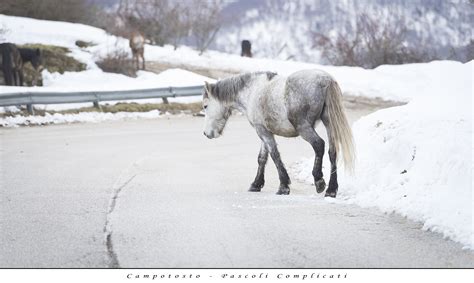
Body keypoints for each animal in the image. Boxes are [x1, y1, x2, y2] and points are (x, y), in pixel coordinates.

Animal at [202, 70, 354, 199]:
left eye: (205, 106)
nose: (206, 133)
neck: (252, 91)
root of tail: (326, 80)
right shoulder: (264, 131)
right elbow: (262, 158)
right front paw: (256, 184)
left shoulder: (262, 131)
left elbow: (275, 155)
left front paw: (283, 187)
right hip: (329, 123)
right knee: (332, 152)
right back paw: (331, 190)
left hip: (304, 128)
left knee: (319, 145)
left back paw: (319, 181)